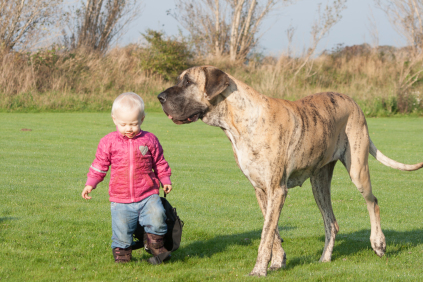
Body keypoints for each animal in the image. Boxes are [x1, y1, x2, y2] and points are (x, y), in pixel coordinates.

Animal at [157, 65, 423, 276]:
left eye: (188, 82)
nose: (159, 96)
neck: (238, 121)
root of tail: (354, 102)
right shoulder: (261, 190)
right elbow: (272, 231)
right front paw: (277, 262)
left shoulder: (277, 189)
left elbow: (265, 235)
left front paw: (258, 270)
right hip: (319, 183)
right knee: (331, 222)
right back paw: (325, 258)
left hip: (358, 169)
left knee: (373, 202)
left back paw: (378, 243)